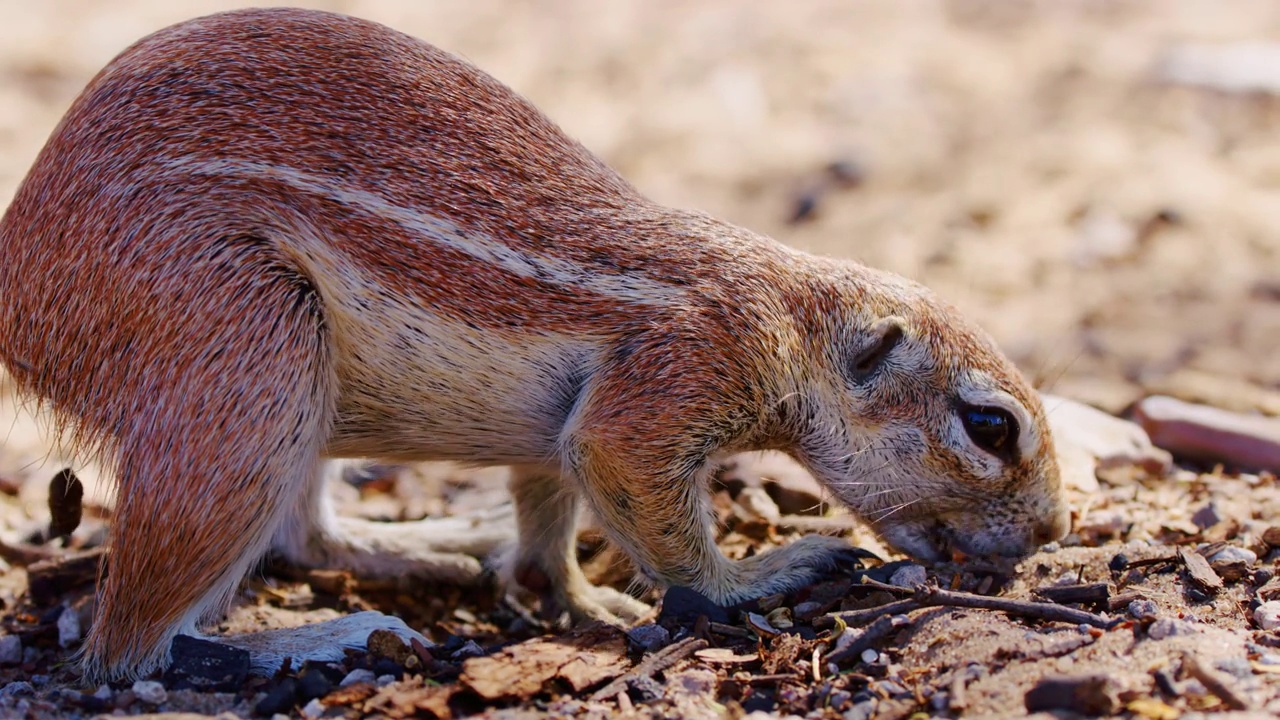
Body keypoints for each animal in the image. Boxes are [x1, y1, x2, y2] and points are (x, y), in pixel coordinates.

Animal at [0, 7, 1070, 676]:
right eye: (991, 428)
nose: (1053, 533)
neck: (794, 318)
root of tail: (18, 287)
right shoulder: (682, 365)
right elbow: (648, 505)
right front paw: (756, 576)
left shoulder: (557, 430)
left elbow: (550, 507)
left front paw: (575, 597)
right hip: (249, 350)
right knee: (123, 650)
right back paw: (310, 642)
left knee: (304, 537)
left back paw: (426, 545)